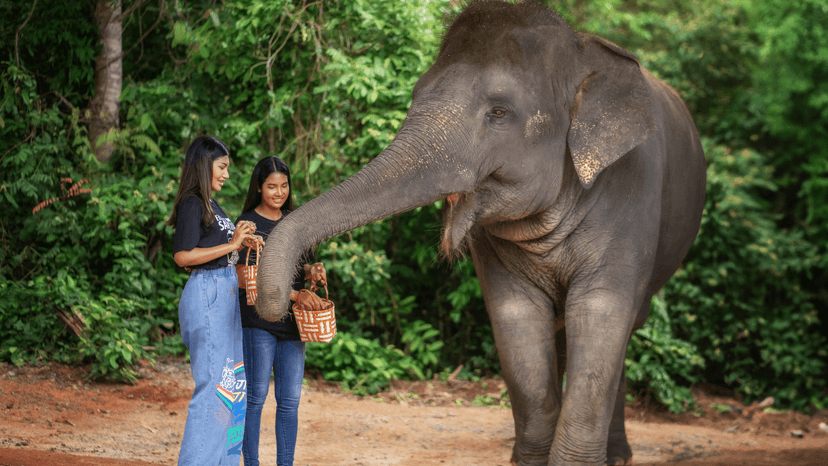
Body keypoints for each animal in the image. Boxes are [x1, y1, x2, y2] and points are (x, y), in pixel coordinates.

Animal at [257, 1, 706, 465]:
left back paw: (617, 455)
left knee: (626, 328)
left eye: (499, 112)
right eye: (415, 95)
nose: (278, 302)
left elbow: (603, 314)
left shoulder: (632, 196)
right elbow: (516, 318)